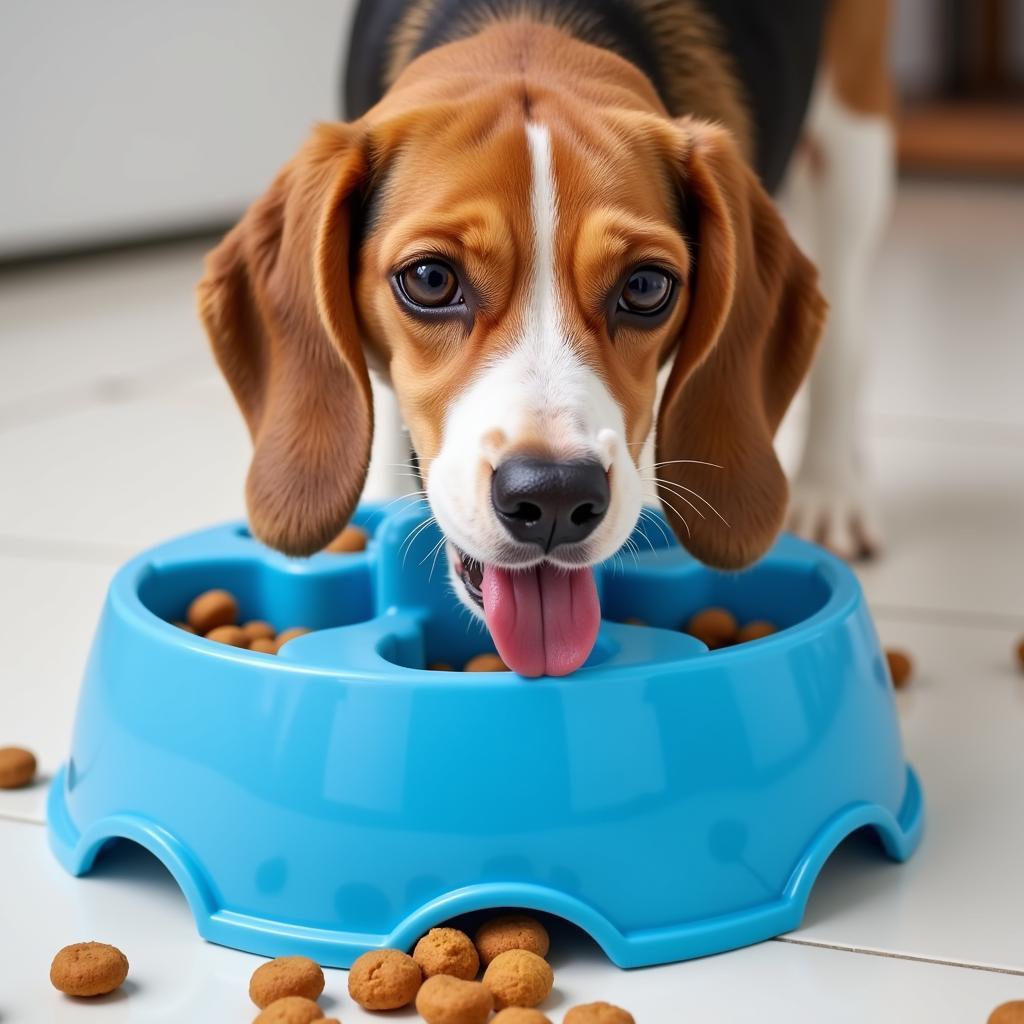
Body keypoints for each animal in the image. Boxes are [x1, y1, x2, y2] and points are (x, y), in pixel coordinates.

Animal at [195, 0, 892, 675]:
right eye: (429, 279)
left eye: (646, 287)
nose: (555, 498)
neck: (528, 22)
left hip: (855, 138)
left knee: (848, 325)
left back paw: (831, 488)